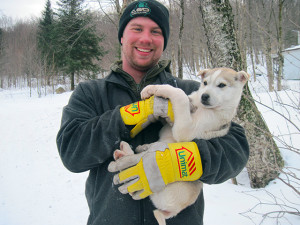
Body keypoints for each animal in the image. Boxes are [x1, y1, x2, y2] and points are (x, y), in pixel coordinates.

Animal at [111, 67, 250, 224]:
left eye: (222, 85)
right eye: (205, 82)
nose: (204, 96)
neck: (202, 107)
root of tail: (174, 211)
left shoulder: (185, 129)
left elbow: (180, 94)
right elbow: (182, 98)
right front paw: (152, 91)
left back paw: (124, 154)